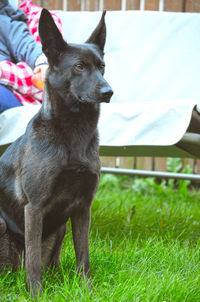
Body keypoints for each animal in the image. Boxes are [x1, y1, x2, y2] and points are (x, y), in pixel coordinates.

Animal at [0, 8, 112, 296]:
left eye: (102, 67)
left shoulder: (83, 208)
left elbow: (84, 256)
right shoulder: (34, 208)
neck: (73, 134)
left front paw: (87, 291)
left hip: (60, 229)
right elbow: (33, 262)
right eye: (79, 66)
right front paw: (36, 295)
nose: (109, 92)